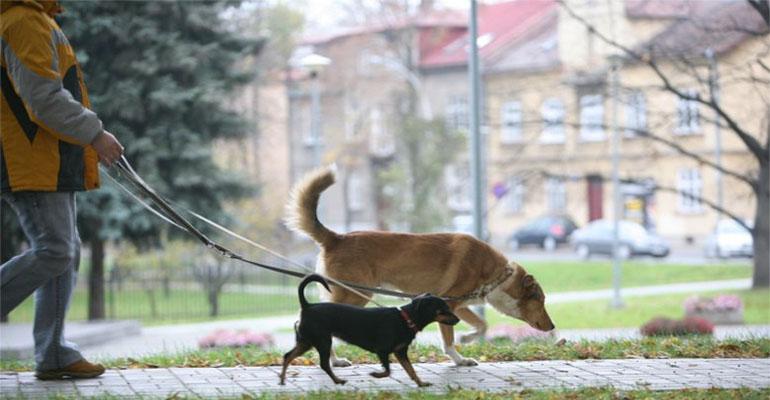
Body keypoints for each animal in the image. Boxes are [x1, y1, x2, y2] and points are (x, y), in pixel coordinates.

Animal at [280, 274, 460, 386]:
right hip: (323, 341)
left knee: (288, 356)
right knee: (324, 364)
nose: (458, 320)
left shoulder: (400, 352)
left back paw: (282, 379)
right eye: (443, 310)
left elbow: (411, 370)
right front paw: (376, 375)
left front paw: (421, 383)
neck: (405, 318)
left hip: (306, 342)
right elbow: (388, 371)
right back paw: (338, 380)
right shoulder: (383, 351)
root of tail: (307, 306)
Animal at [282, 167, 552, 368]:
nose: (552, 327)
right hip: (355, 294)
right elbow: (450, 340)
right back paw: (333, 360)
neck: (496, 275)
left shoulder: (458, 306)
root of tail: (336, 238)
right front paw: (459, 357)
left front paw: (466, 340)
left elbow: (481, 324)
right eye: (540, 300)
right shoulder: (450, 306)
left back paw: (333, 361)